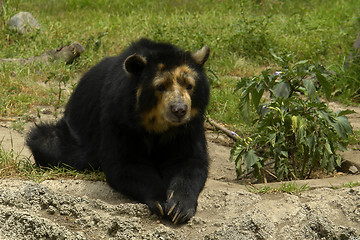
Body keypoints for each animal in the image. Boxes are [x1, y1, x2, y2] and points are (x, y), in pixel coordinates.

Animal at [26, 38, 210, 224]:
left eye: (189, 86)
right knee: (46, 141)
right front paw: (159, 201)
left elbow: (190, 161)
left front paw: (179, 207)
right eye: (160, 87)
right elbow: (124, 163)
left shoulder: (190, 125)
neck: (157, 124)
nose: (179, 110)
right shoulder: (119, 117)